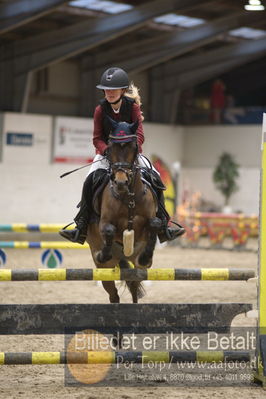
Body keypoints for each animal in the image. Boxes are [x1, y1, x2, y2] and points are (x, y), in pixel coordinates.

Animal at [86, 119, 161, 306]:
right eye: (110, 147)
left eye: (133, 147)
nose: (121, 182)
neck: (129, 197)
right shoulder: (105, 222)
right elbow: (109, 229)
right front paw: (103, 253)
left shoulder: (148, 221)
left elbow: (155, 224)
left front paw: (146, 256)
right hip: (104, 269)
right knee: (113, 295)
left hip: (135, 266)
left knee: (133, 285)